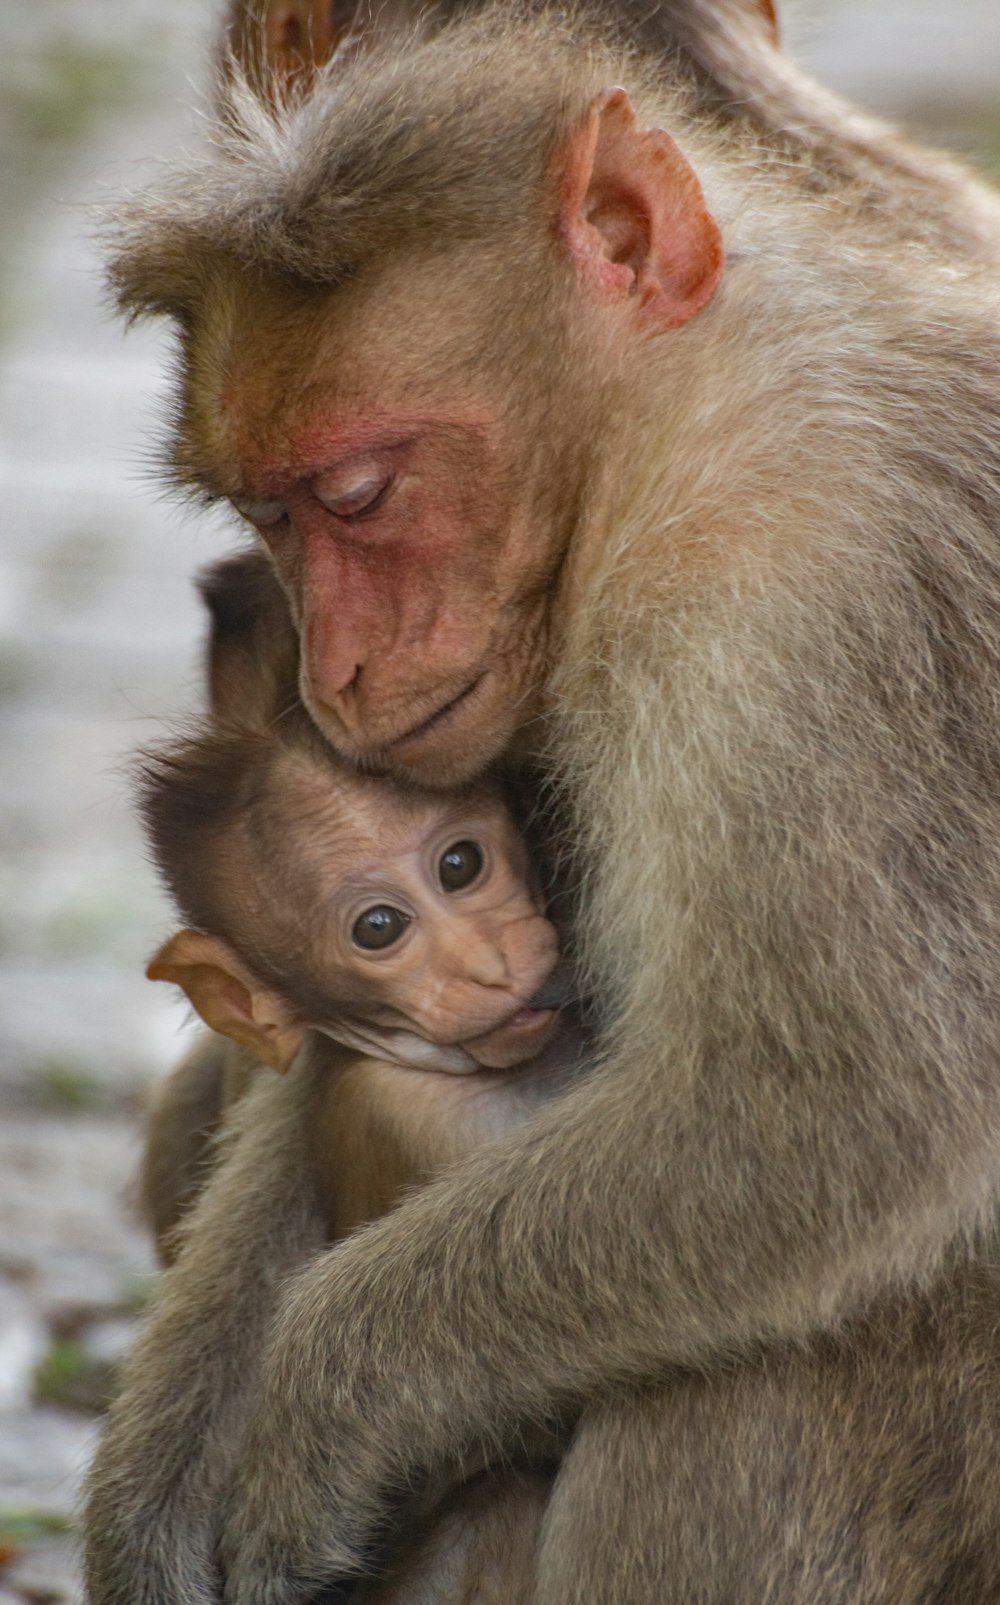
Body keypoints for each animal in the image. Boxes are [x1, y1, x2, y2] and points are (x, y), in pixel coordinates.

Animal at [85, 3, 1000, 1605]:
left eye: (359, 491)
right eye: (265, 510)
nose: (333, 670)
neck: (676, 421)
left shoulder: (798, 603)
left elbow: (833, 1117)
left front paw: (320, 1400)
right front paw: (159, 1495)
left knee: (749, 1362)